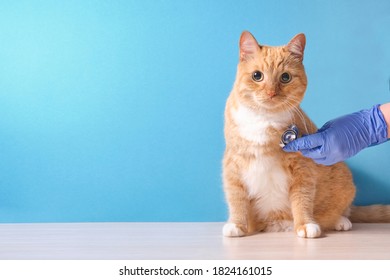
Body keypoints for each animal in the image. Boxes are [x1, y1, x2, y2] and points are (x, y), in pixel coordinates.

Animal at [222, 32, 390, 238]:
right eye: (257, 76)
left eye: (285, 77)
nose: (271, 93)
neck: (265, 120)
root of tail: (277, 224)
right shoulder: (233, 165)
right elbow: (236, 199)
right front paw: (236, 224)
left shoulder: (303, 168)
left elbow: (302, 198)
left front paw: (305, 224)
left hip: (342, 176)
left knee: (344, 210)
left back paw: (340, 221)